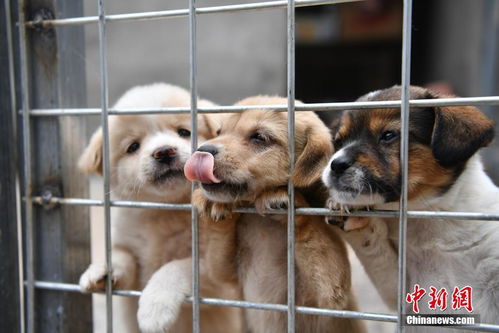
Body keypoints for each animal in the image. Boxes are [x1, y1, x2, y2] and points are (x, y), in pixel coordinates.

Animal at [186, 95, 366, 332]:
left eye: (259, 138)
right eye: (219, 132)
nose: (202, 150)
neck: (265, 227)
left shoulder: (330, 294)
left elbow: (315, 233)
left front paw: (280, 198)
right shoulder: (225, 274)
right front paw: (212, 202)